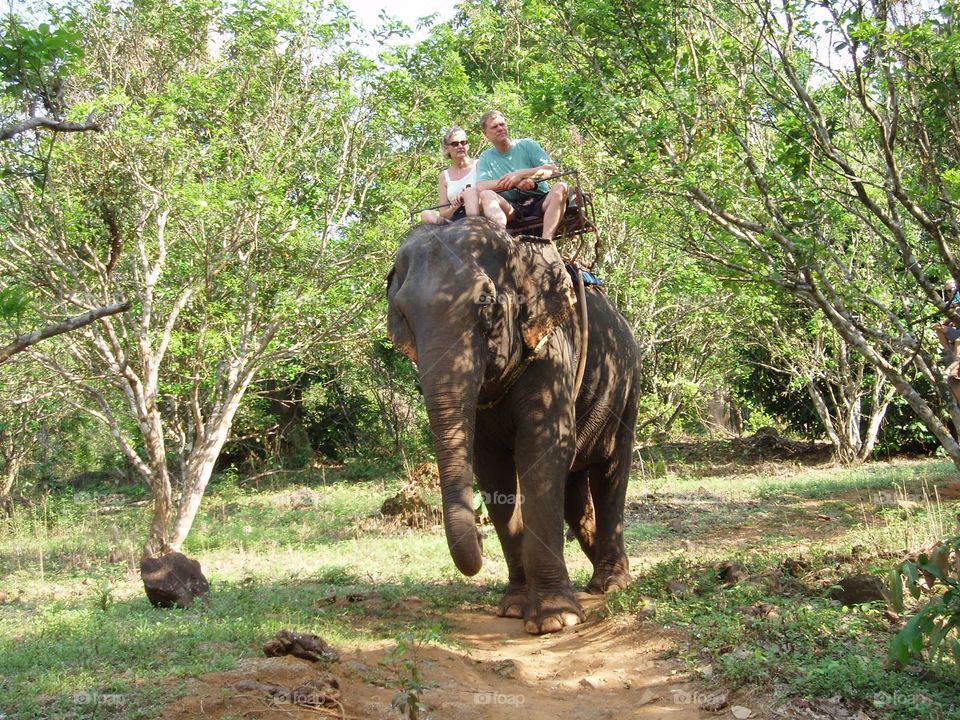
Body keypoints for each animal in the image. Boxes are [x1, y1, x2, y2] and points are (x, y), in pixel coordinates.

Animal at [387, 217, 640, 634]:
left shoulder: (552, 350)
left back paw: (611, 584)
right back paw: (594, 575)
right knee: (574, 489)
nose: (477, 538)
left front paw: (556, 620)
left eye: (486, 305)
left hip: (627, 383)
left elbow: (541, 448)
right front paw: (513, 608)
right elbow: (493, 469)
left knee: (610, 473)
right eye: (404, 316)